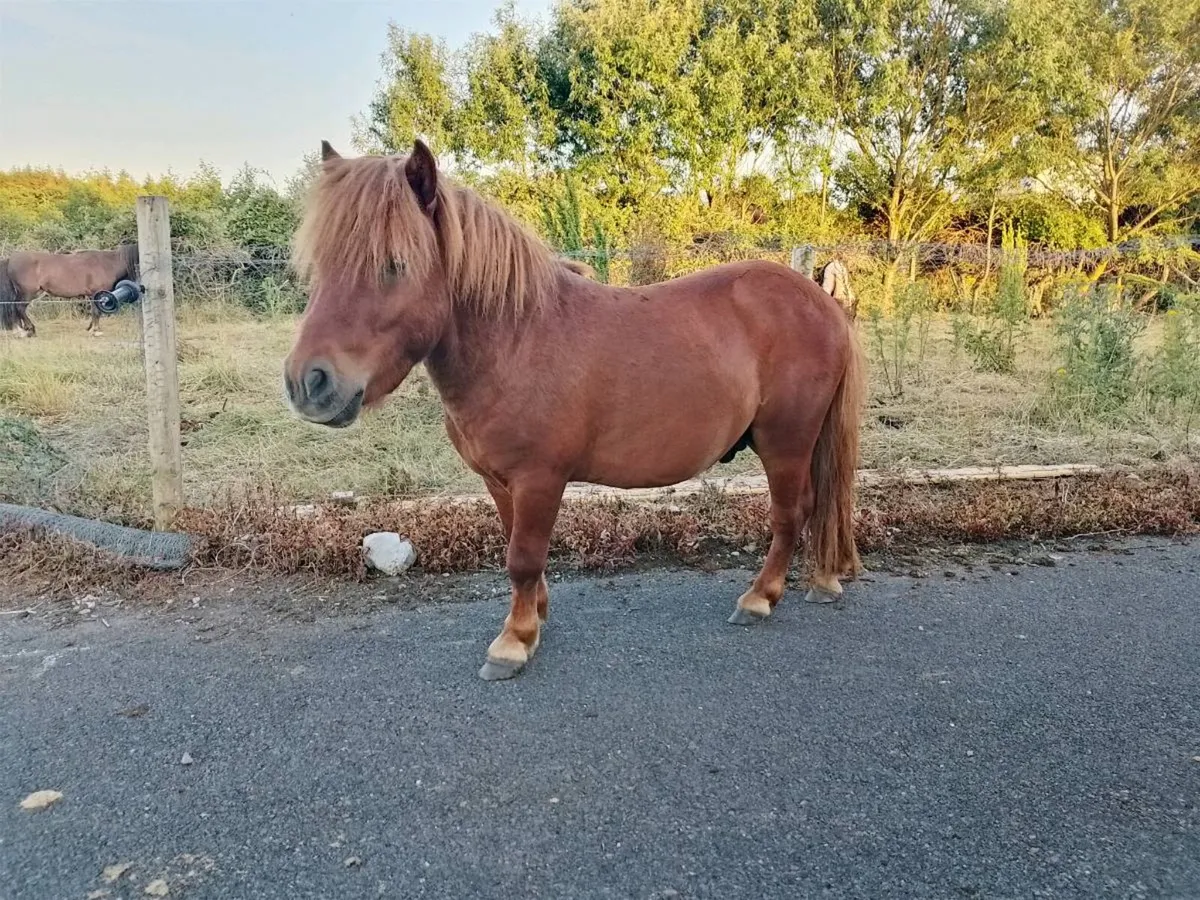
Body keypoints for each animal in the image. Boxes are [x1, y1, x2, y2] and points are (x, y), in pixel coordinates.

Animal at [0, 244, 139, 338]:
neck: (107, 264)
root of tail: (10, 260)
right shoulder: (96, 292)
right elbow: (96, 312)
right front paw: (95, 331)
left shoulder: (93, 295)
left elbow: (95, 312)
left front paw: (91, 328)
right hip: (28, 293)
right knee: (19, 308)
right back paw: (29, 330)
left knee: (14, 308)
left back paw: (20, 330)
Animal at [284, 140, 865, 681]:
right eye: (320, 266)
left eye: (394, 265)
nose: (307, 383)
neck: (515, 340)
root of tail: (822, 301)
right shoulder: (500, 482)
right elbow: (518, 550)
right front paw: (535, 617)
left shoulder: (539, 479)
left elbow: (522, 558)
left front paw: (513, 642)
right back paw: (821, 580)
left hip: (785, 442)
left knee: (791, 514)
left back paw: (760, 597)